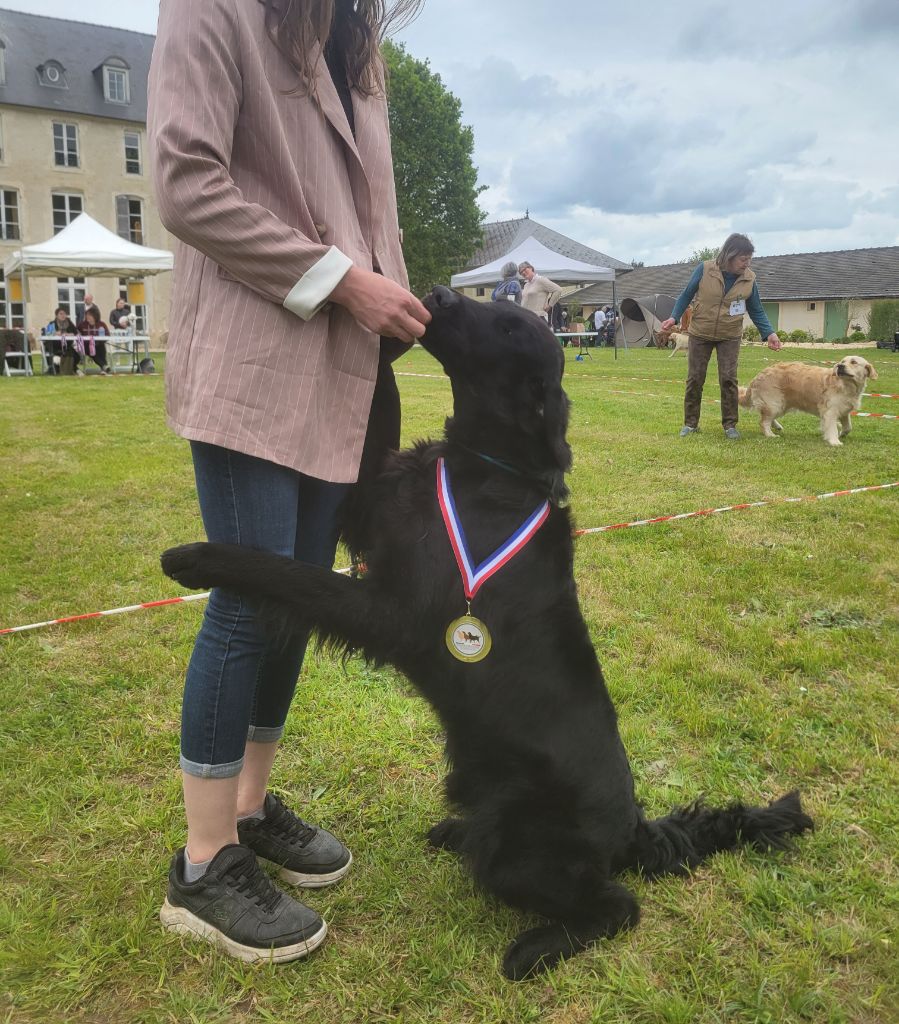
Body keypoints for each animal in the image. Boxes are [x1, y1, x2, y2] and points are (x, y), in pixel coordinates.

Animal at [163, 290, 815, 983]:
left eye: (506, 325)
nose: (439, 295)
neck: (488, 465)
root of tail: (634, 829)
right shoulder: (371, 509)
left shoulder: (389, 610)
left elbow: (285, 573)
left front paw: (196, 559)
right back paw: (454, 834)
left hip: (517, 844)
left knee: (618, 906)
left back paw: (529, 951)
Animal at [737, 356, 880, 444]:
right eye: (843, 361)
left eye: (854, 362)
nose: (840, 366)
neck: (847, 386)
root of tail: (758, 375)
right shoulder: (830, 411)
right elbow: (832, 427)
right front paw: (835, 441)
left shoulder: (845, 411)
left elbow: (848, 427)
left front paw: (842, 434)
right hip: (775, 403)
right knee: (763, 421)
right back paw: (770, 434)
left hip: (781, 404)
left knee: (767, 417)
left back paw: (777, 426)